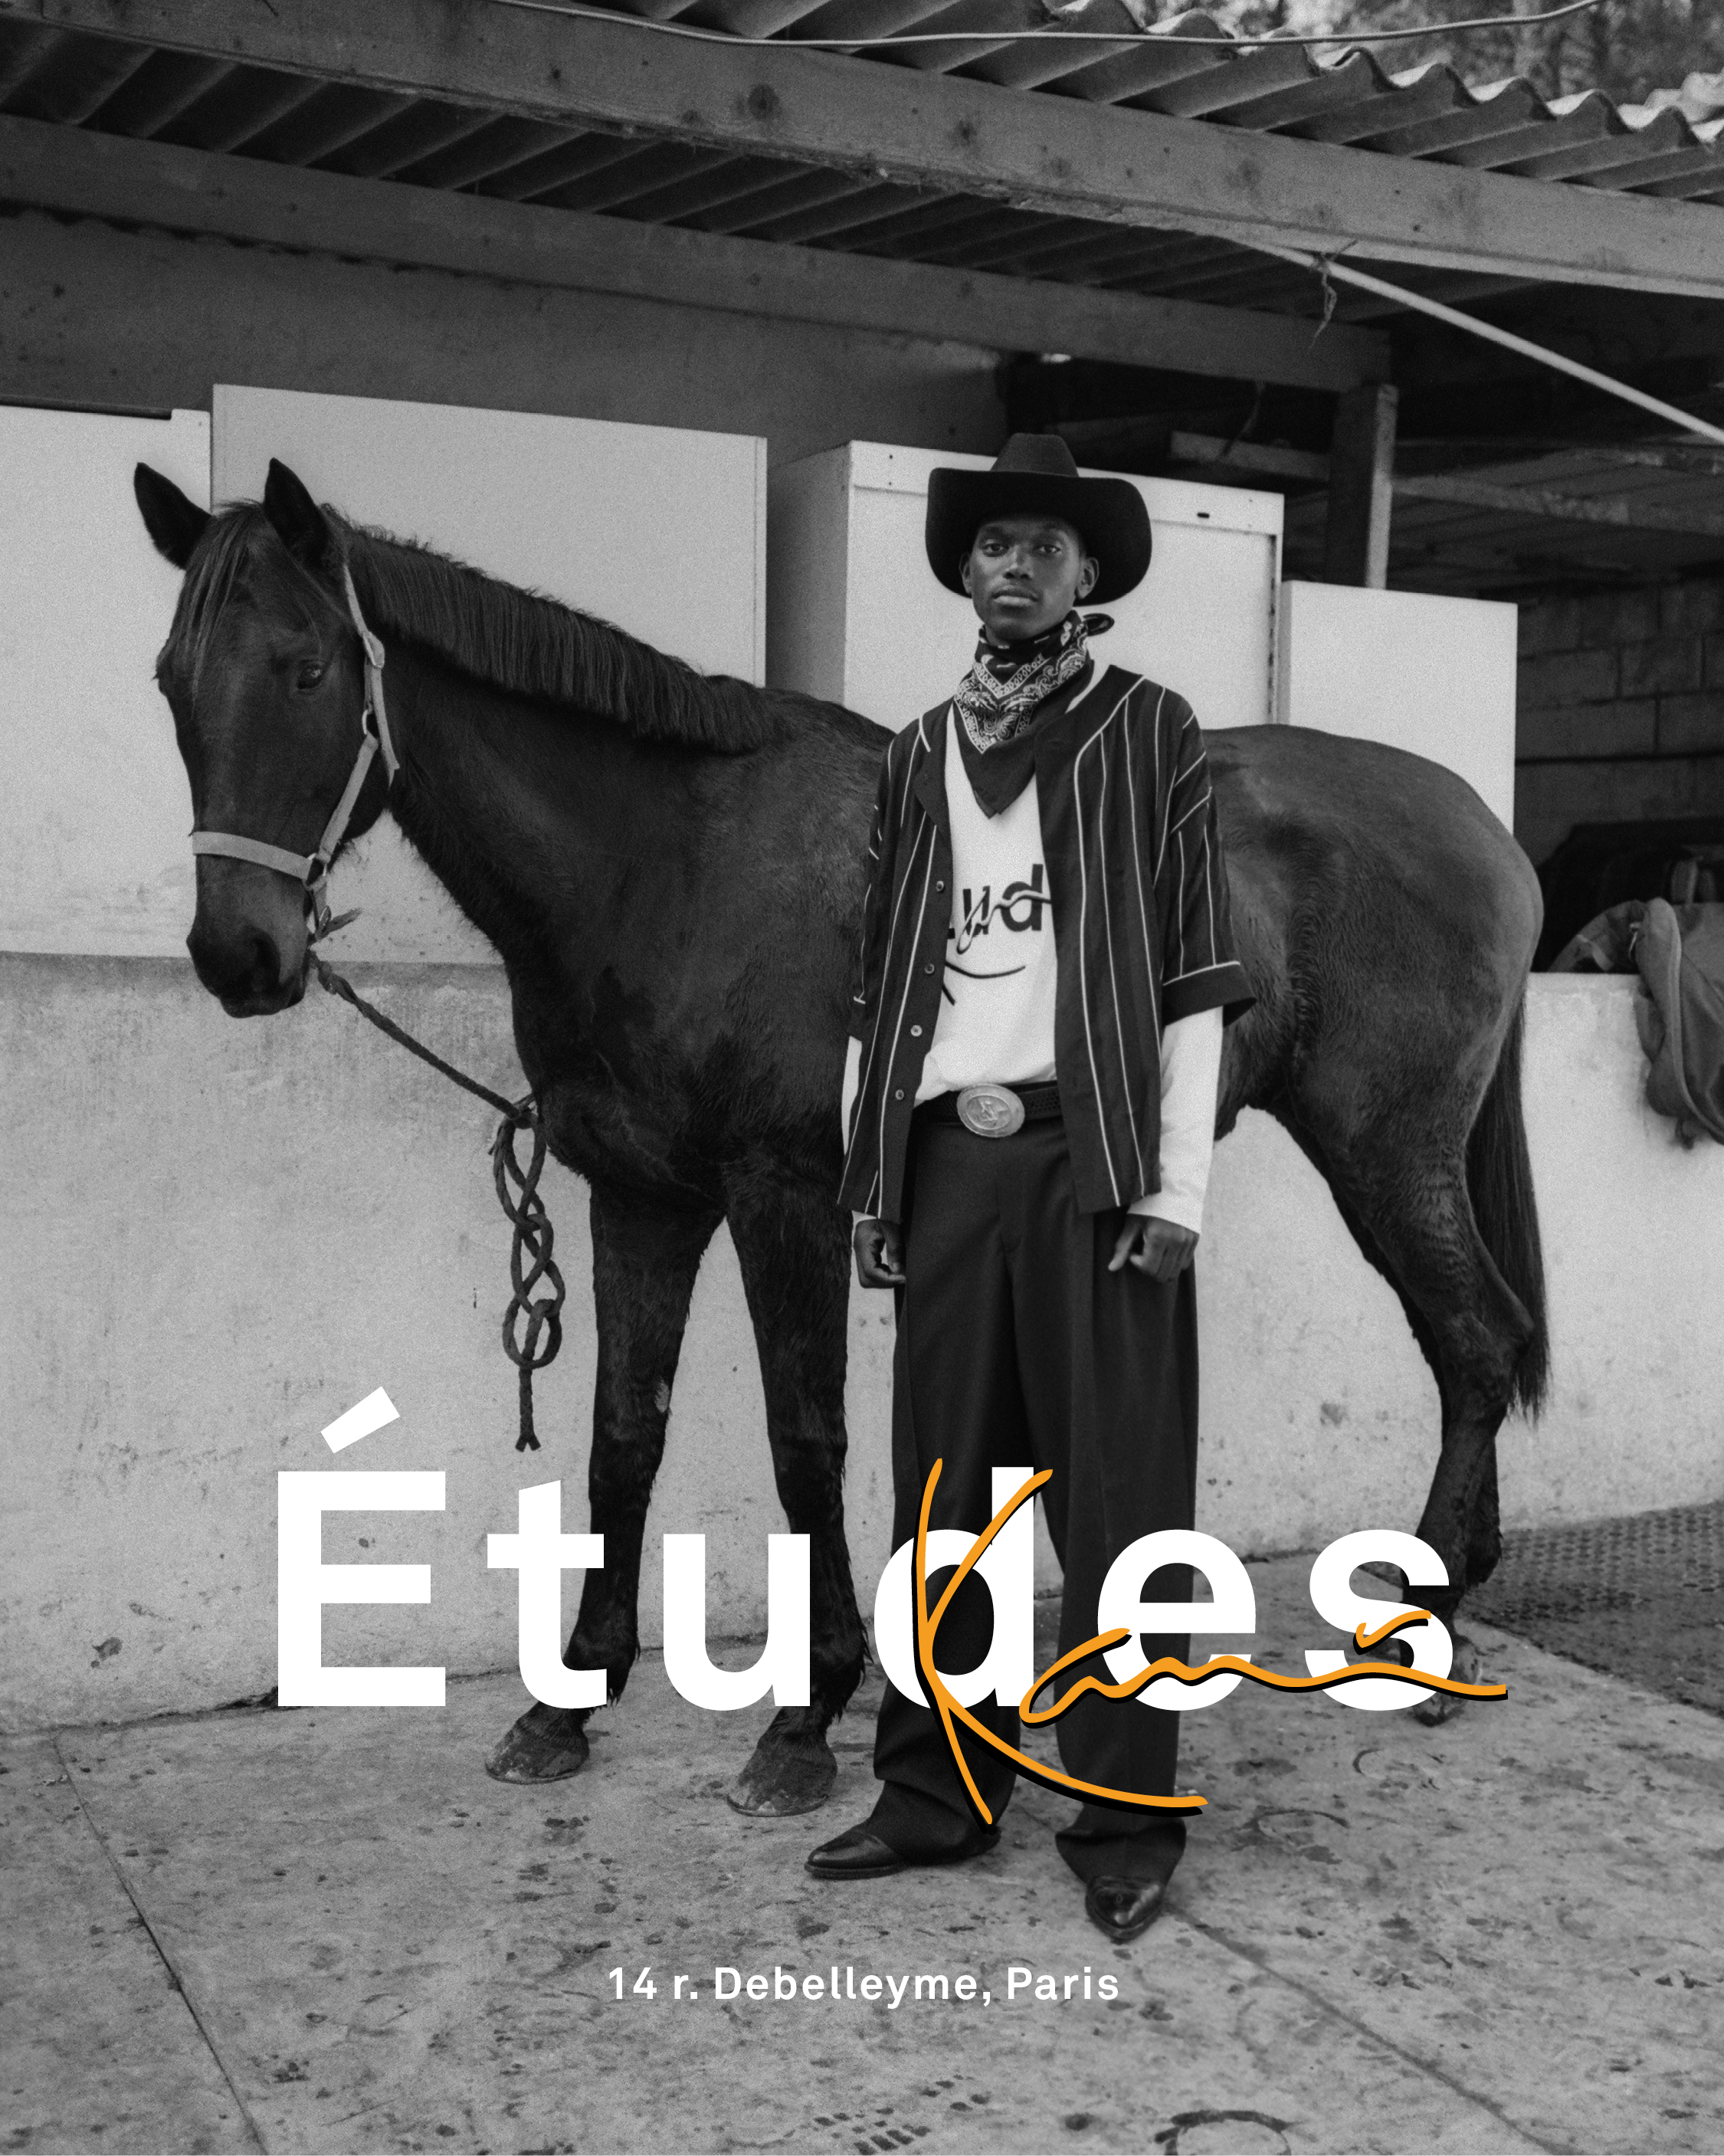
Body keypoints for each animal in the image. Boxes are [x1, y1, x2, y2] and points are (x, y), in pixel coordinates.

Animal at [132, 456, 1547, 1810]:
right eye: (171, 681)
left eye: (308, 668)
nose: (237, 954)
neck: (670, 865)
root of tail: (1487, 830)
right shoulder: (638, 1196)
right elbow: (622, 1436)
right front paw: (568, 1702)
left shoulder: (786, 1198)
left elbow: (804, 1444)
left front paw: (804, 1718)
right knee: (1471, 1351)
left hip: (1386, 1154)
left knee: (1477, 1346)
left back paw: (1425, 1626)